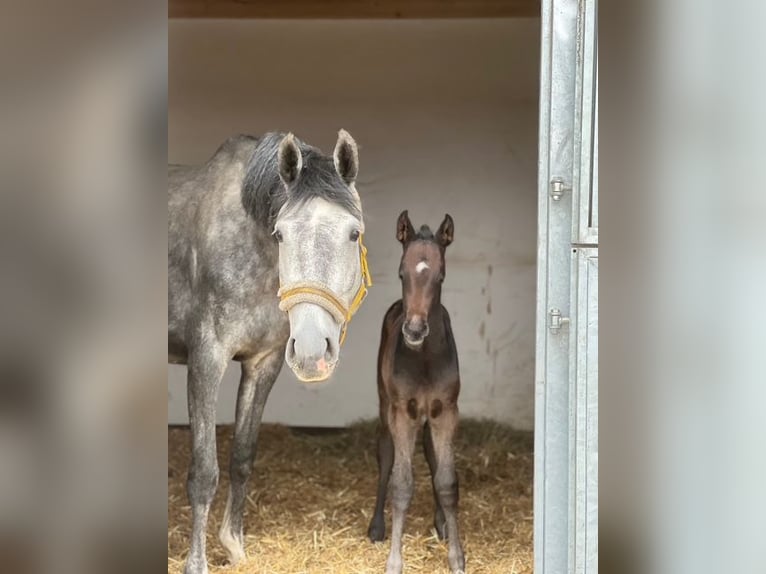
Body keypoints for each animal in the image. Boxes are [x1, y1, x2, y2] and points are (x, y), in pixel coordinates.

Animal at [168, 130, 371, 574]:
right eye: (280, 234)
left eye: (354, 234)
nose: (313, 351)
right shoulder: (206, 360)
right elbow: (204, 472)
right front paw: (196, 563)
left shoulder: (265, 363)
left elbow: (242, 456)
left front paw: (234, 547)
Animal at [368, 211, 465, 574]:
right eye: (401, 272)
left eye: (440, 275)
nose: (413, 330)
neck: (424, 359)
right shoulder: (402, 412)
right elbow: (402, 483)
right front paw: (394, 561)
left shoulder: (446, 411)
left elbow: (447, 480)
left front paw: (457, 557)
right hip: (385, 405)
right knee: (385, 453)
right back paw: (376, 527)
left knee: (431, 456)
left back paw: (440, 523)